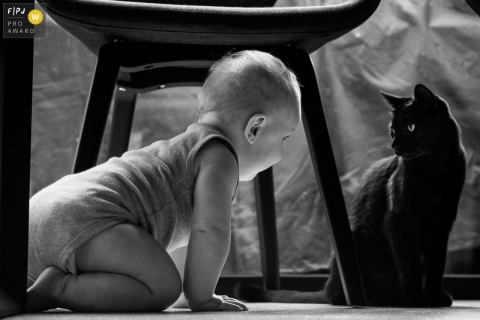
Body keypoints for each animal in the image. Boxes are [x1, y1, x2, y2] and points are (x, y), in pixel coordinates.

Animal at [234, 84, 466, 308]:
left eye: (411, 127)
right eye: (393, 130)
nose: (395, 145)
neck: (434, 170)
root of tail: (326, 288)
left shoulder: (442, 224)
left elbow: (437, 265)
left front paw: (435, 298)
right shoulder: (398, 222)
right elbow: (410, 265)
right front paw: (415, 299)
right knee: (339, 297)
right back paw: (380, 300)